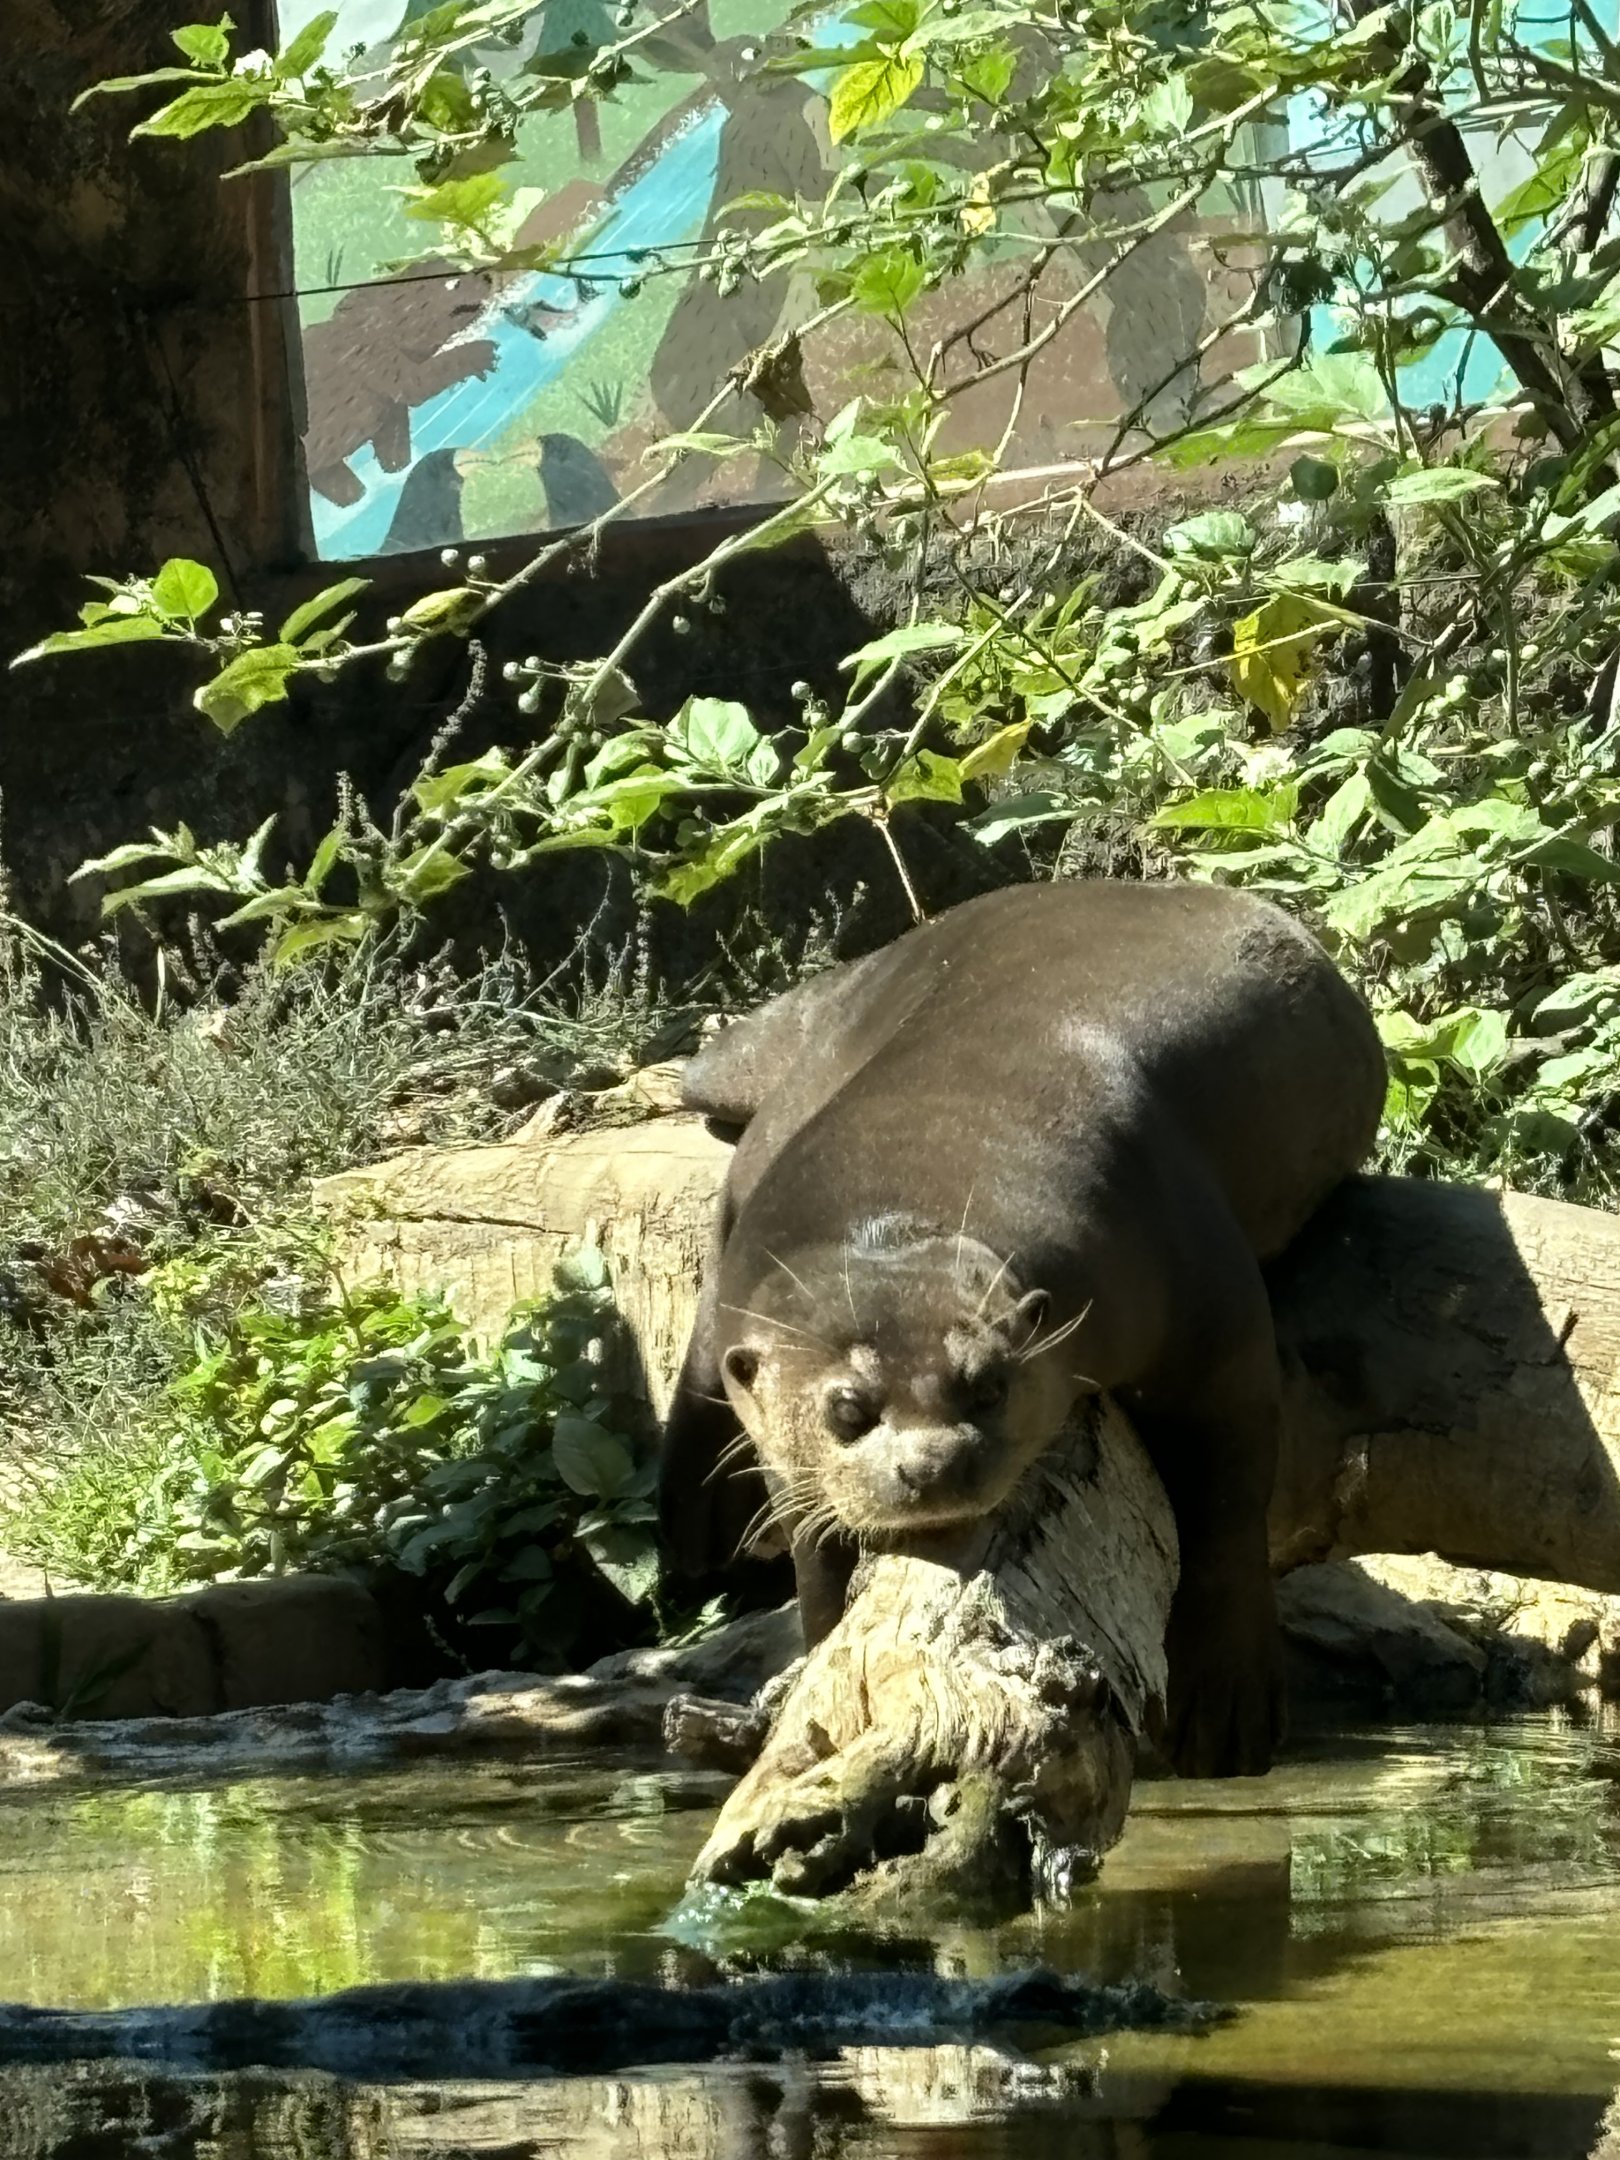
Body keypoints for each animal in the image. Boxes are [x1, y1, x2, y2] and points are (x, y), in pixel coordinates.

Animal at [659, 880, 1387, 1779]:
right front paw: (816, 1655)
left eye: (987, 1386)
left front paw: (1227, 1693)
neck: (921, 1150)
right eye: (847, 1410)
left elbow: (1230, 1489)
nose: (933, 1464)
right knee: (703, 1342)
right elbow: (814, 1553)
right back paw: (696, 1520)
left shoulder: (1198, 1291)